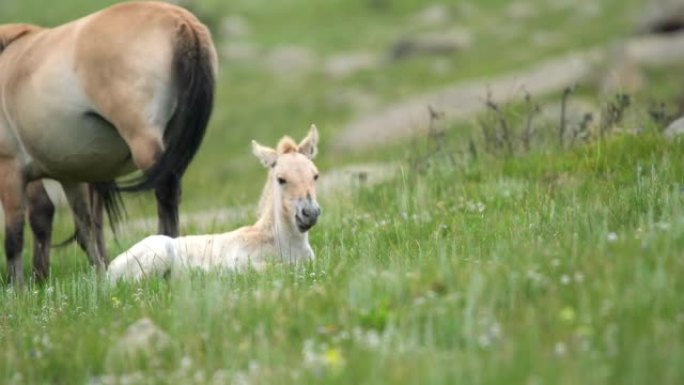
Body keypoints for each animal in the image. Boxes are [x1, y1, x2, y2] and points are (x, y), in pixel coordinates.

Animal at [0, 2, 216, 284]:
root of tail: (181, 20)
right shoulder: (69, 175)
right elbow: (84, 227)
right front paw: (99, 277)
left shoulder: (11, 170)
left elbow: (15, 235)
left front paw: (20, 288)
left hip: (144, 143)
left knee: (165, 191)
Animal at [108, 124, 322, 280]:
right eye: (281, 179)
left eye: (315, 175)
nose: (310, 213)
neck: (281, 243)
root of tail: (109, 271)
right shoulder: (239, 264)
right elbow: (278, 268)